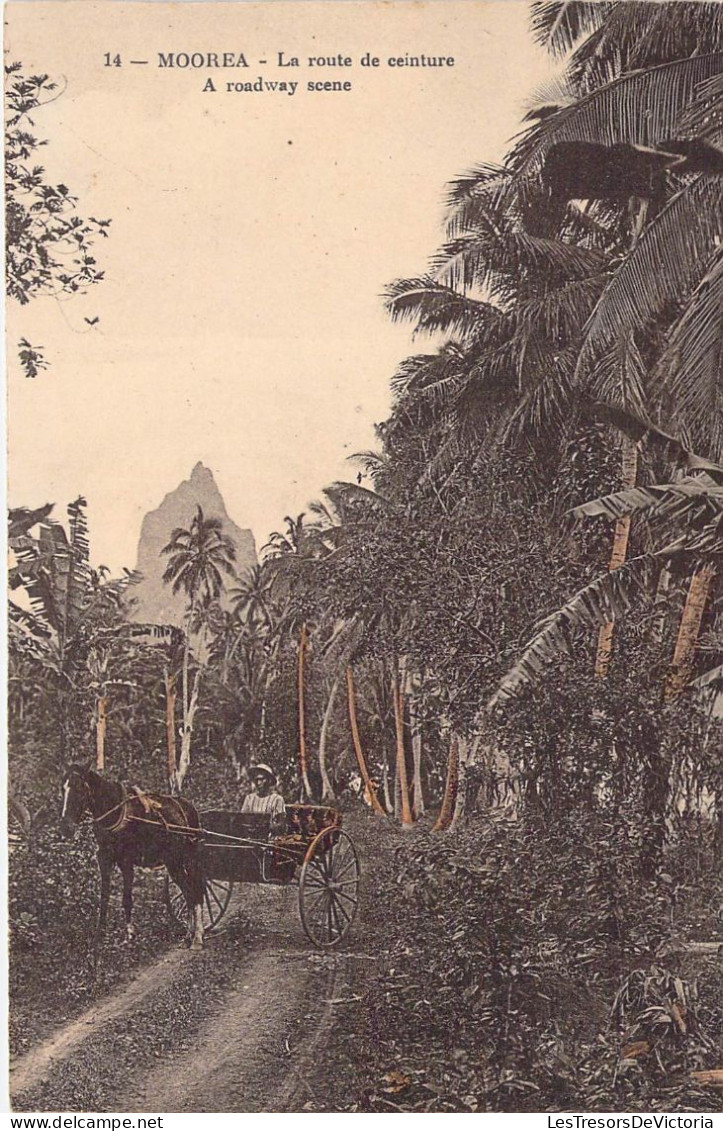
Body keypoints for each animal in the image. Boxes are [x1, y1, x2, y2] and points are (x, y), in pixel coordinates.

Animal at [59, 769, 205, 945]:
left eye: (80, 788)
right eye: (63, 789)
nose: (65, 827)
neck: (115, 813)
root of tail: (187, 807)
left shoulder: (126, 860)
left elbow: (127, 898)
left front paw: (129, 934)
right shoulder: (104, 858)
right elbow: (104, 896)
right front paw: (100, 934)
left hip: (182, 859)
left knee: (194, 892)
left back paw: (197, 936)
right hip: (173, 863)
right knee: (189, 891)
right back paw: (190, 934)